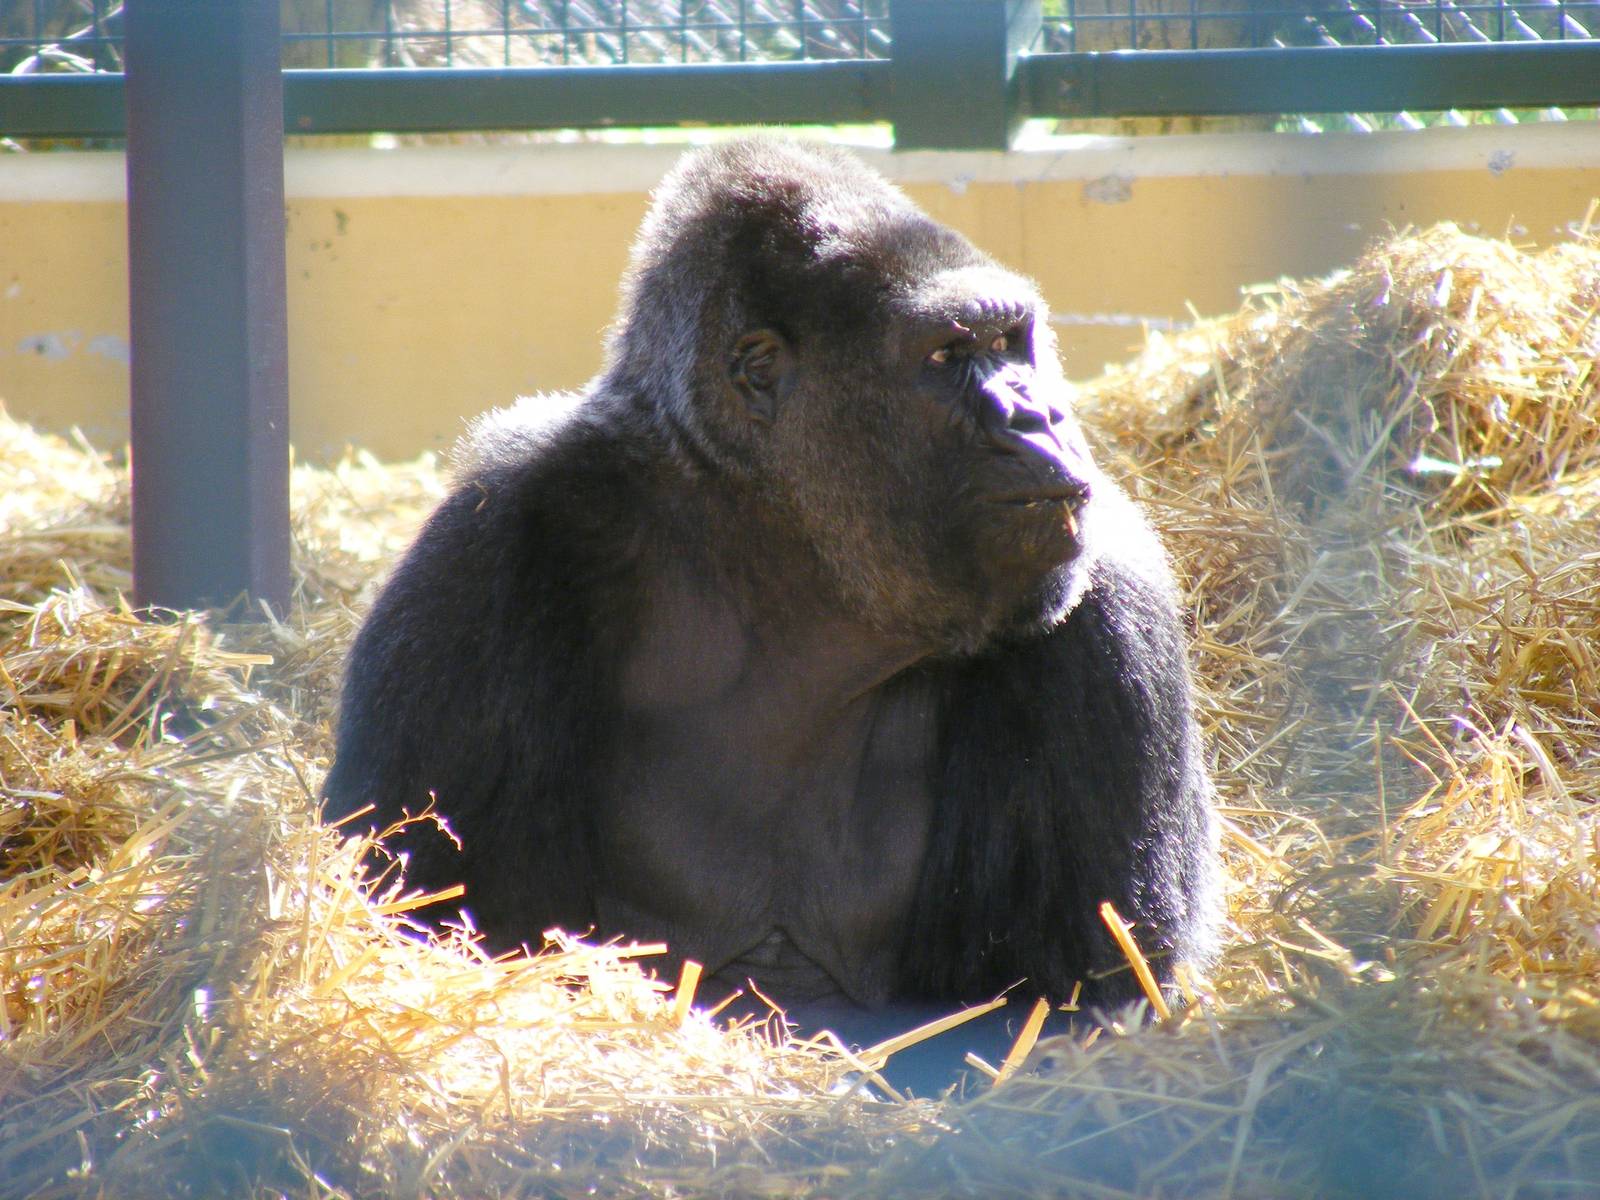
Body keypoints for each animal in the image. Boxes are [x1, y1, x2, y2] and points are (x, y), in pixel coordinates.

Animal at [323, 137, 1219, 1076]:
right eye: (946, 357)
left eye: (1013, 344)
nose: (1039, 415)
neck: (784, 561)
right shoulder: (493, 537)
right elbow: (422, 912)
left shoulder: (1110, 604)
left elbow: (1075, 999)